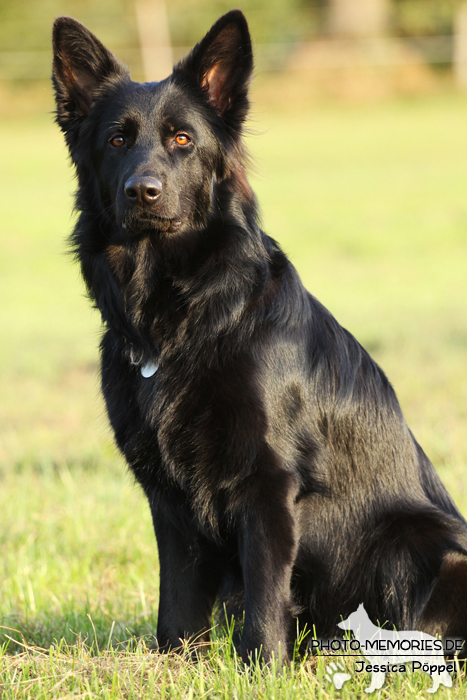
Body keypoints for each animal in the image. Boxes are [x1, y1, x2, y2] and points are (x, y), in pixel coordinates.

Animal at [52, 10, 467, 664]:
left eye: (182, 140)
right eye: (117, 141)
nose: (142, 191)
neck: (189, 313)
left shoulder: (268, 483)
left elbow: (267, 591)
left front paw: (262, 667)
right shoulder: (166, 495)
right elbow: (178, 604)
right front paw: (176, 663)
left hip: (415, 543)